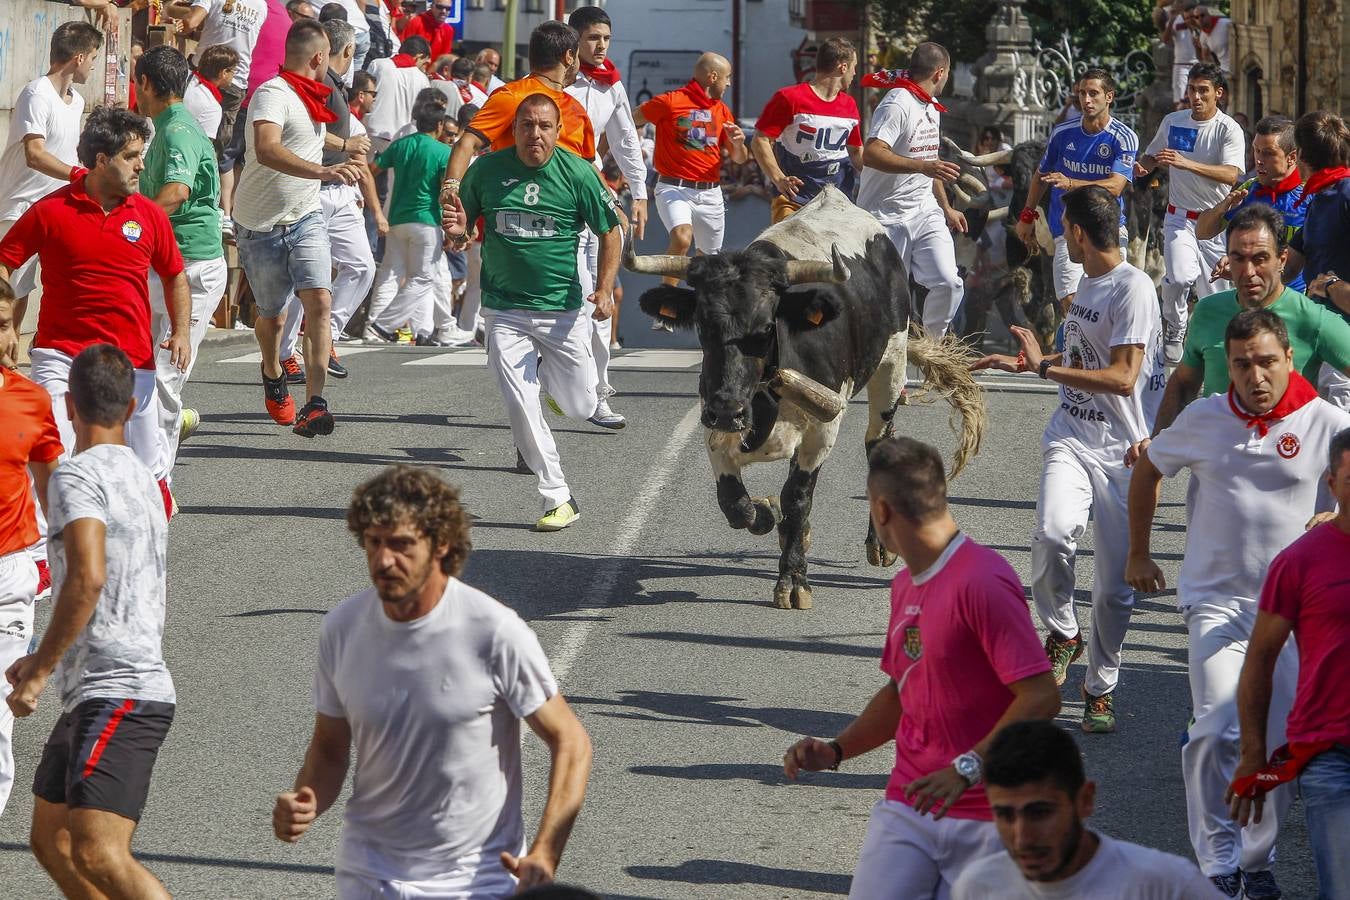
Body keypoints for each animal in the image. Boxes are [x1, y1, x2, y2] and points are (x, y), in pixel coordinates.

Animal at [621, 190, 982, 612]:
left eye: (765, 328)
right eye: (703, 326)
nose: (727, 409)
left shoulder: (823, 426)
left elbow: (796, 497)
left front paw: (793, 580)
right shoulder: (715, 425)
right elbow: (734, 502)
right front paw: (765, 513)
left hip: (891, 364)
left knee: (878, 442)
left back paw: (878, 543)